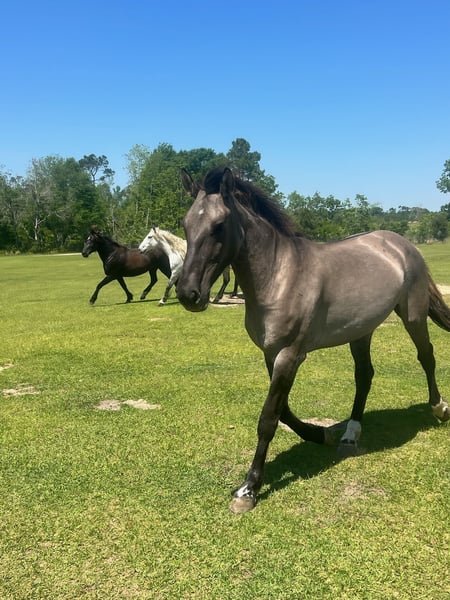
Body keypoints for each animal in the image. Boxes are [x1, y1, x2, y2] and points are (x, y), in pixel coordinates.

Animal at [177, 167, 450, 514]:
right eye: (186, 224)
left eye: (219, 226)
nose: (188, 294)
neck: (280, 275)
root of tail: (401, 244)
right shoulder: (271, 354)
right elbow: (284, 411)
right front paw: (322, 435)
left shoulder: (290, 355)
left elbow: (269, 418)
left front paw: (249, 489)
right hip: (360, 330)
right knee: (364, 376)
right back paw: (349, 436)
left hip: (412, 315)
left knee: (426, 356)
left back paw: (439, 408)